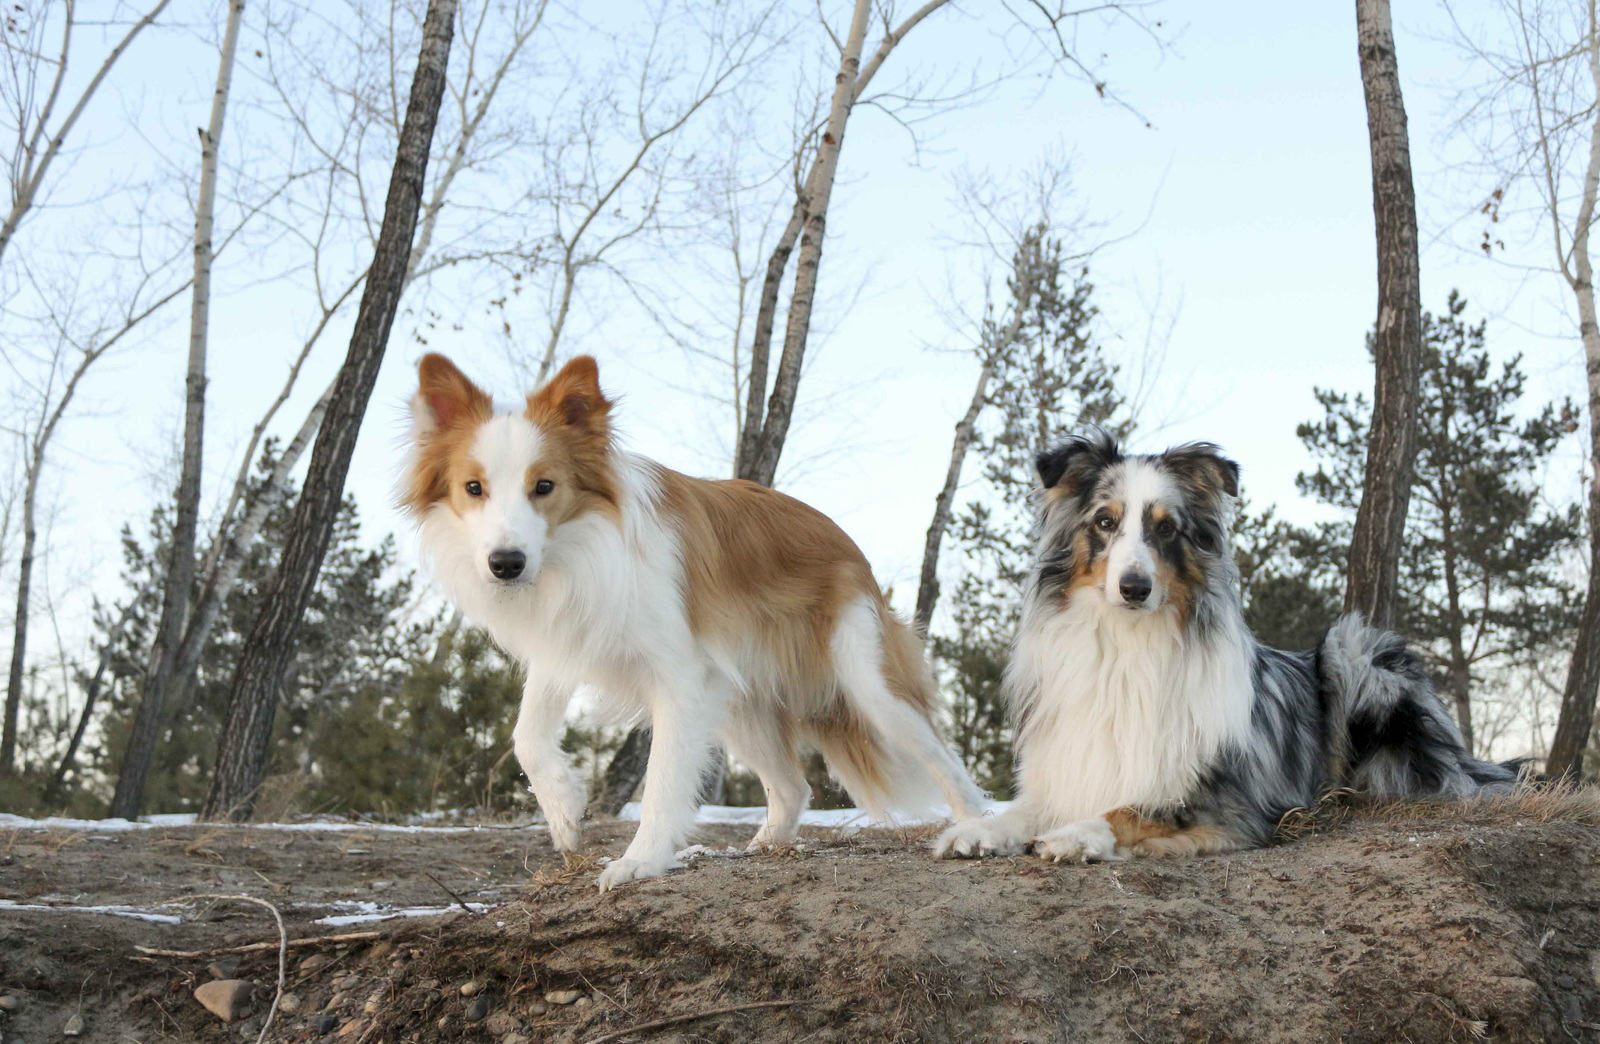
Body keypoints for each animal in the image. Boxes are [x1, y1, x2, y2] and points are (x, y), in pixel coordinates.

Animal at [406, 352, 979, 890]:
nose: (506, 564)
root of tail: (847, 544)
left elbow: (661, 781)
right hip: (741, 706)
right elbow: (526, 735)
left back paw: (975, 832)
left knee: (945, 759)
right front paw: (566, 812)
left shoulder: (680, 678)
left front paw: (639, 861)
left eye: (544, 486)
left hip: (865, 679)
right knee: (793, 786)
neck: (581, 547)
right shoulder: (566, 642)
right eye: (473, 488)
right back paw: (767, 844)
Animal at [934, 432, 1510, 864]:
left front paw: (1076, 835)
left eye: (1167, 528)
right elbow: (1021, 809)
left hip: (1355, 648)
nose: (1135, 588)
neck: (1126, 645)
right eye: (1105, 521)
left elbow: (1133, 810)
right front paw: (979, 831)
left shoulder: (1229, 802)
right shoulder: (1064, 773)